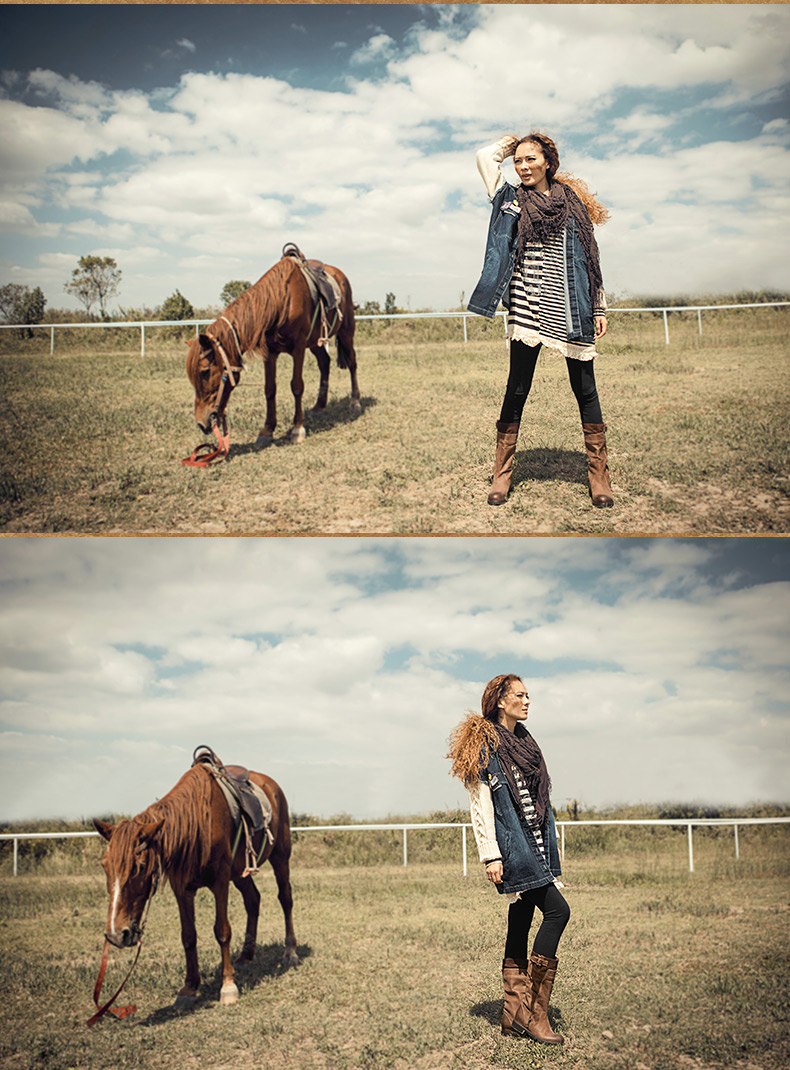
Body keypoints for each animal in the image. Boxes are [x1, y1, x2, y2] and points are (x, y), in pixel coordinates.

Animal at [93, 757, 297, 1005]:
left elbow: (222, 931)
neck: (198, 824)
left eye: (139, 867)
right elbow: (188, 936)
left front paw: (228, 986)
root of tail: (271, 785)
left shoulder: (220, 881)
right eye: (104, 866)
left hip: (280, 856)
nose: (115, 934)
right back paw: (246, 954)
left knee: (285, 898)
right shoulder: (182, 888)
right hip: (240, 873)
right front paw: (189, 987)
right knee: (253, 900)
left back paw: (290, 952)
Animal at [184, 250, 359, 451]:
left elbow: (296, 386)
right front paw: (267, 431)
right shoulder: (269, 353)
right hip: (316, 342)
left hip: (346, 331)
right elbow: (270, 389)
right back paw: (319, 405)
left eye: (204, 371)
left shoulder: (298, 348)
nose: (201, 423)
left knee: (352, 363)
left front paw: (298, 428)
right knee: (324, 363)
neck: (282, 301)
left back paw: (355, 402)